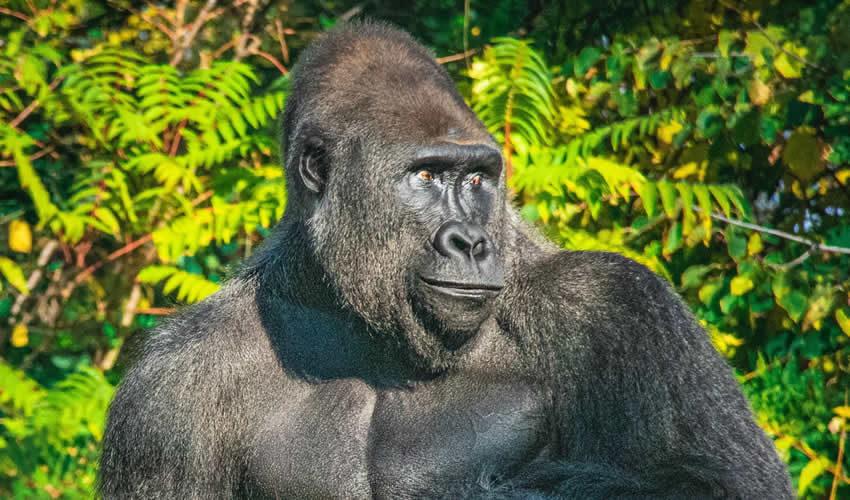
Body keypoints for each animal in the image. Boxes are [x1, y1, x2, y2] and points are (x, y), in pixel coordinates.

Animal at [97, 22, 788, 500]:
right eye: (427, 176)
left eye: (478, 178)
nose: (472, 243)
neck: (358, 314)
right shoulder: (167, 389)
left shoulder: (620, 308)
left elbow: (726, 484)